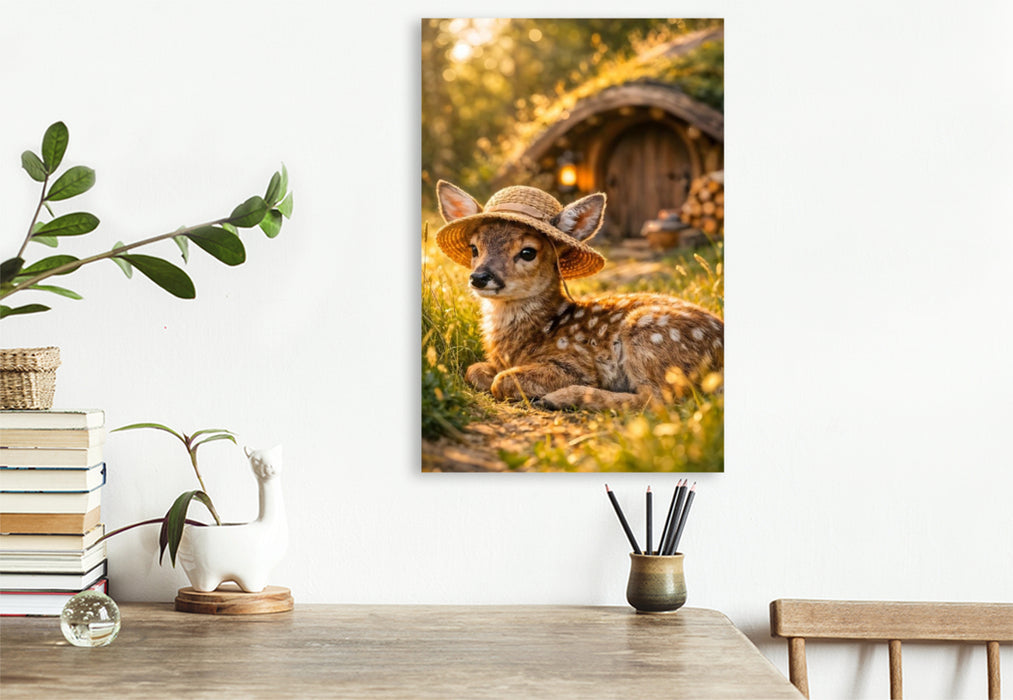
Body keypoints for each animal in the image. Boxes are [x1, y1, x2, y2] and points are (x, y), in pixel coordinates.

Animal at [435, 180, 723, 412]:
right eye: (474, 248)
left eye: (528, 252)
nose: (480, 277)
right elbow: (473, 370)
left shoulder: (576, 365)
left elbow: (501, 380)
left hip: (648, 337)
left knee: (658, 401)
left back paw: (558, 399)